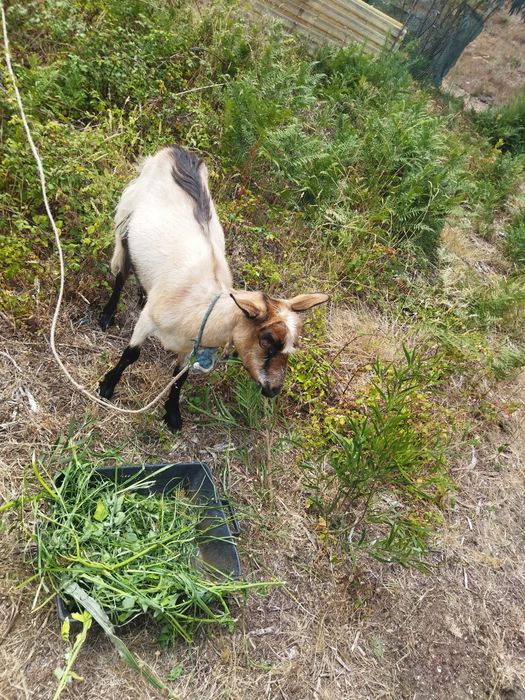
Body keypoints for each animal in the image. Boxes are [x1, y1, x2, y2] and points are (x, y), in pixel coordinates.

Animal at [98, 146, 329, 431]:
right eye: (266, 340)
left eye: (292, 346)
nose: (273, 390)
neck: (199, 307)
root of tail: (175, 150)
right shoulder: (147, 321)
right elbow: (131, 354)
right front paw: (107, 386)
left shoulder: (190, 347)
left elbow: (180, 376)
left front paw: (172, 415)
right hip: (127, 223)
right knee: (122, 272)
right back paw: (107, 314)